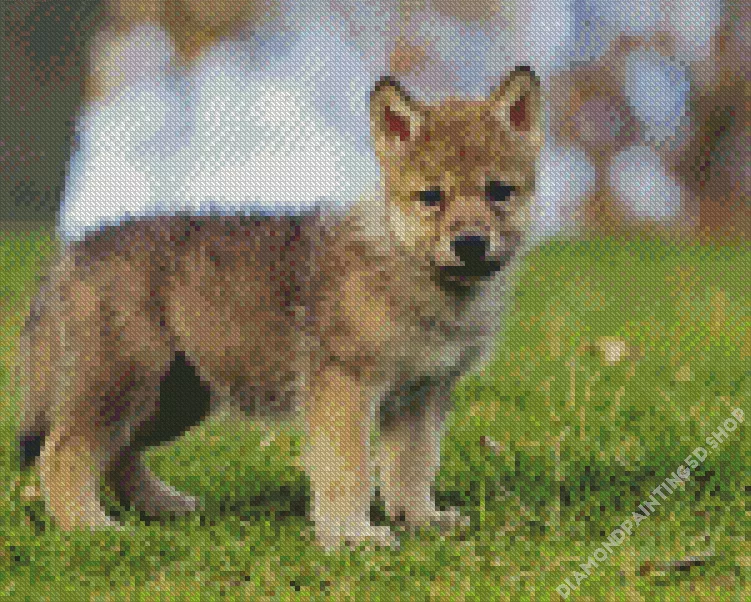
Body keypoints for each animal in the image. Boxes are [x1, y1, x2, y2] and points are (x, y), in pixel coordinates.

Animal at [16, 67, 543, 549]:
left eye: (499, 191)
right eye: (431, 197)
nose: (470, 244)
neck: (406, 268)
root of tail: (71, 254)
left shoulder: (422, 393)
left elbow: (412, 467)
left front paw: (420, 520)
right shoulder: (345, 385)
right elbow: (349, 468)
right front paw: (351, 536)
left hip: (174, 397)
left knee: (117, 455)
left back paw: (162, 506)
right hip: (124, 382)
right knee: (63, 452)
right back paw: (90, 528)